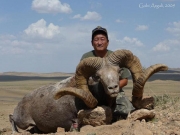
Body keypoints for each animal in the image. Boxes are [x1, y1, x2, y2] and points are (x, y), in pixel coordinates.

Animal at [9, 49, 167, 133]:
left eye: (118, 71)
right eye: (98, 76)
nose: (113, 88)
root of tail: (19, 105)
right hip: (23, 122)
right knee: (13, 120)